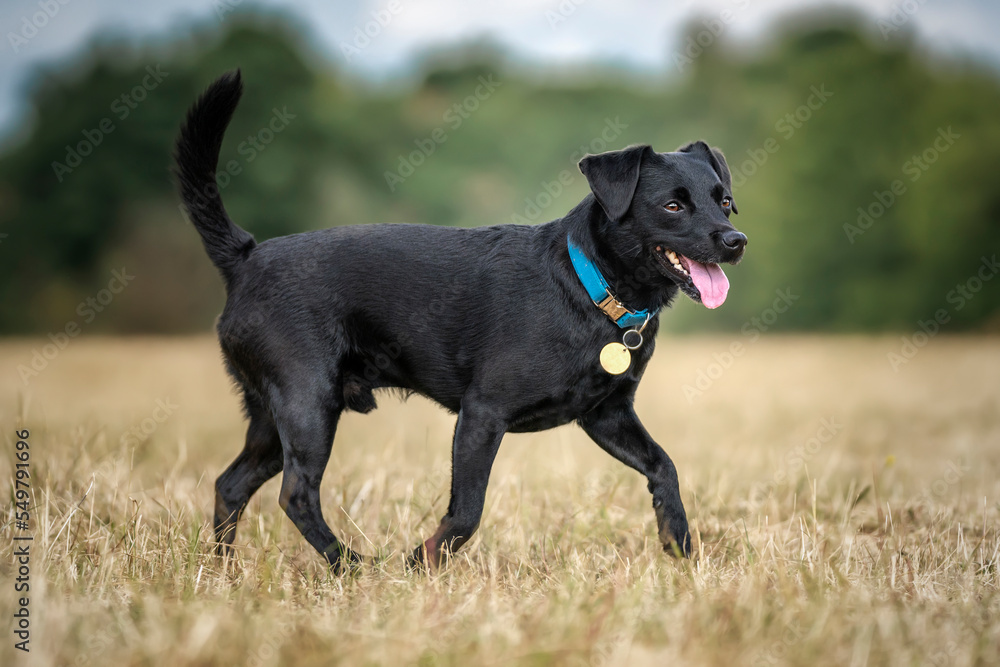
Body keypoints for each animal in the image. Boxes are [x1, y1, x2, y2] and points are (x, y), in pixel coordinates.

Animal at [176, 73, 748, 576]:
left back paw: (224, 571)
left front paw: (679, 546)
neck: (590, 285)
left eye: (723, 200)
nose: (735, 240)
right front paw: (419, 563)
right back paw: (352, 567)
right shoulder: (480, 417)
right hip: (308, 405)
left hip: (273, 420)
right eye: (672, 205)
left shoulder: (608, 415)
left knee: (231, 485)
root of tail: (246, 257)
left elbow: (664, 466)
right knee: (296, 494)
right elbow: (467, 512)